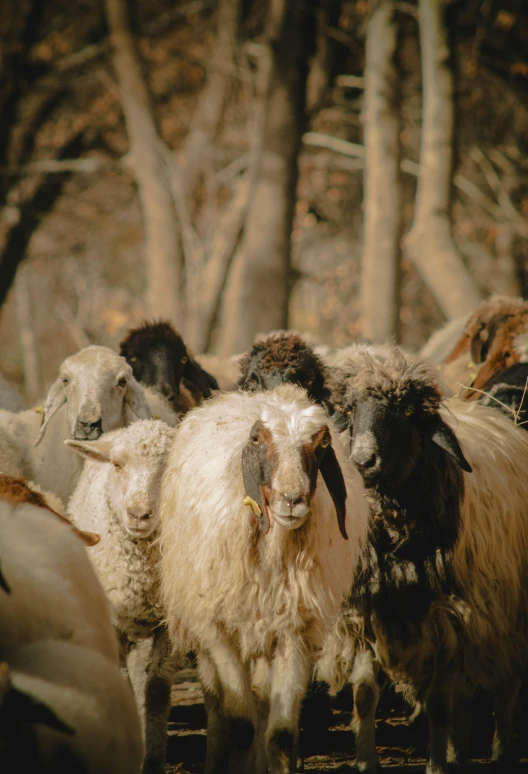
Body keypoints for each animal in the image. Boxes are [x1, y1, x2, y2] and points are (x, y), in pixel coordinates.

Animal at [67, 422, 177, 774]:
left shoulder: (170, 624)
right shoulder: (111, 622)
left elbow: (155, 690)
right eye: (117, 464)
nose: (139, 514)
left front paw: (153, 759)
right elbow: (122, 685)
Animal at [159, 388, 370, 774]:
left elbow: (281, 732)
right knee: (217, 704)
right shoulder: (221, 633)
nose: (292, 500)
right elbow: (240, 725)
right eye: (258, 440)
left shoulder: (293, 632)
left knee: (260, 698)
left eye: (321, 444)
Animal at [328, 354, 528, 774]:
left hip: (506, 609)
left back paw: (500, 750)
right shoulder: (367, 610)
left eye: (406, 411)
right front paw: (366, 761)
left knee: (506, 682)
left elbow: (438, 701)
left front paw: (436, 764)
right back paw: (460, 752)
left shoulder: (449, 615)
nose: (362, 461)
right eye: (351, 411)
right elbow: (365, 694)